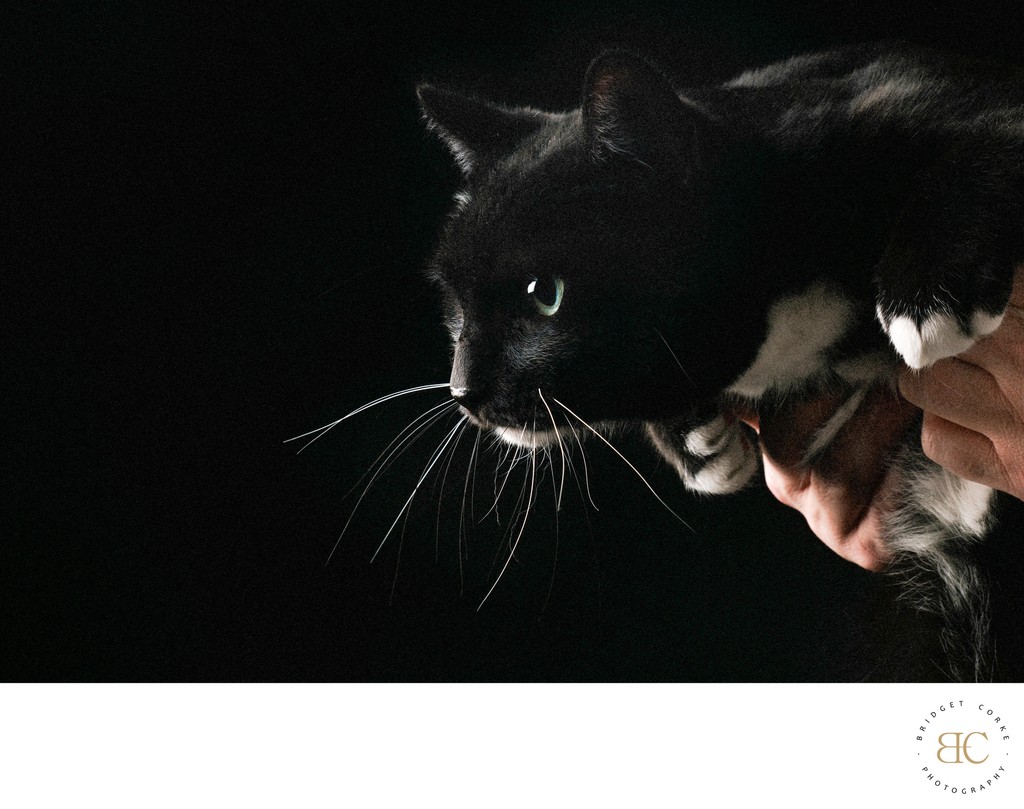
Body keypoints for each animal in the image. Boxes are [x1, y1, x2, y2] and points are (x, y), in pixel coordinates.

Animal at [415, 41, 1024, 679]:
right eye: (455, 304)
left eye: (546, 295)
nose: (463, 391)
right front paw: (693, 442)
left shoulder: (929, 103)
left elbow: (977, 143)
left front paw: (928, 297)